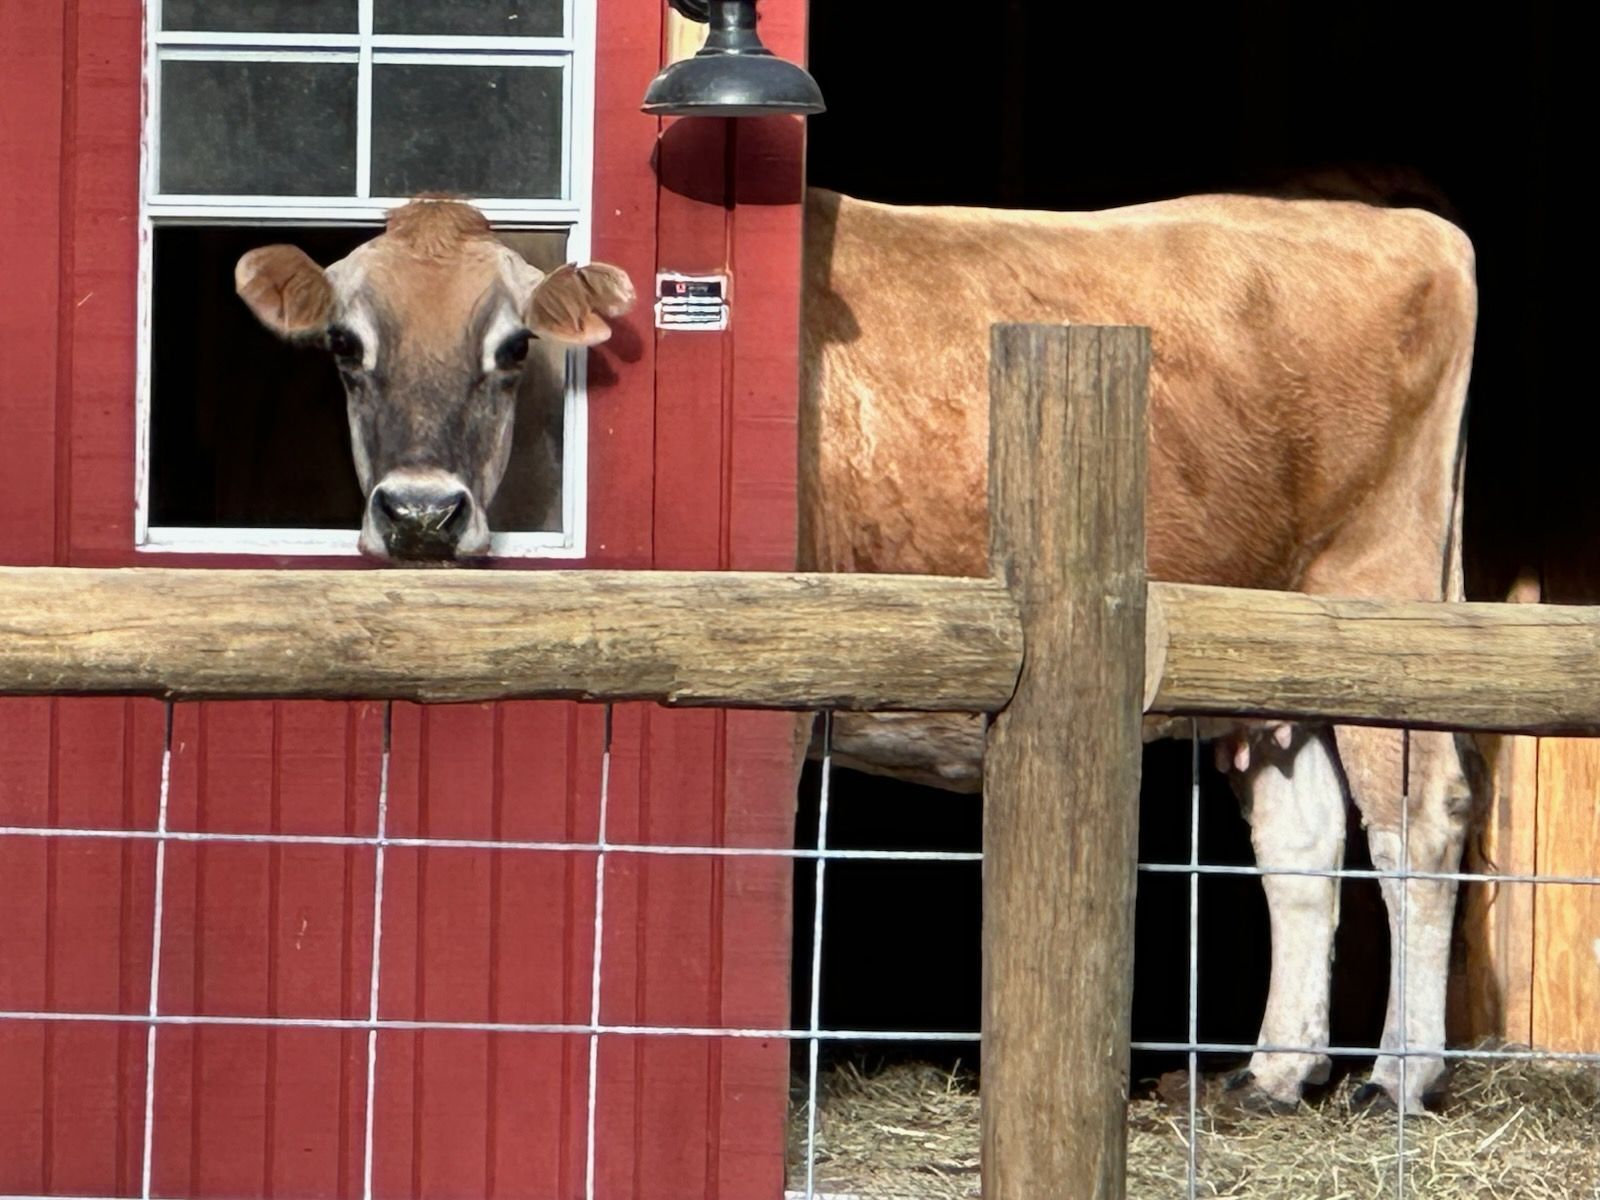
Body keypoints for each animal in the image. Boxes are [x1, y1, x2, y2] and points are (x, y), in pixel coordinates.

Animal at [233, 189, 1477, 1114]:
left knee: (1415, 824)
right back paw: (1275, 1072)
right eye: (345, 344)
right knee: (1302, 841)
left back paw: (1398, 1077)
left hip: (1384, 595)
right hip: (1279, 654)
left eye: (509, 345)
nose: (419, 513)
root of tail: (1413, 227)